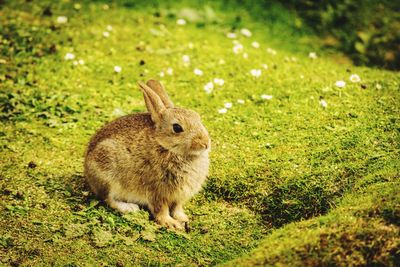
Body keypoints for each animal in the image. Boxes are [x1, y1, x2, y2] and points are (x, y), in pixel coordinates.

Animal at [83, 79, 211, 230]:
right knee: (108, 199)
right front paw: (171, 223)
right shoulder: (156, 192)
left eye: (197, 117)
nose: (205, 143)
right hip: (107, 175)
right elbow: (160, 210)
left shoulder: (178, 196)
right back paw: (129, 207)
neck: (165, 147)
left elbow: (177, 208)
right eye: (177, 128)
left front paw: (183, 218)